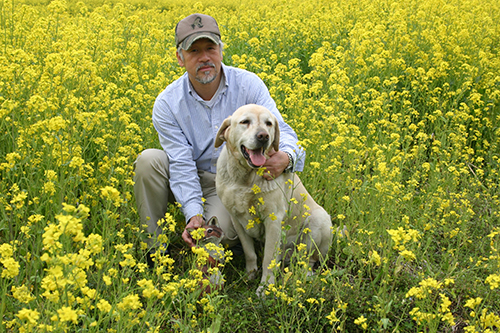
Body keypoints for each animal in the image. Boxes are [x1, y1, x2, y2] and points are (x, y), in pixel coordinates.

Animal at [215, 104, 332, 294]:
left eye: (268, 123)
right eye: (245, 121)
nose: (263, 136)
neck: (245, 177)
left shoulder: (273, 220)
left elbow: (268, 259)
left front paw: (265, 288)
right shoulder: (236, 219)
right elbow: (249, 252)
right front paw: (249, 275)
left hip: (318, 221)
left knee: (308, 260)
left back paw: (303, 276)